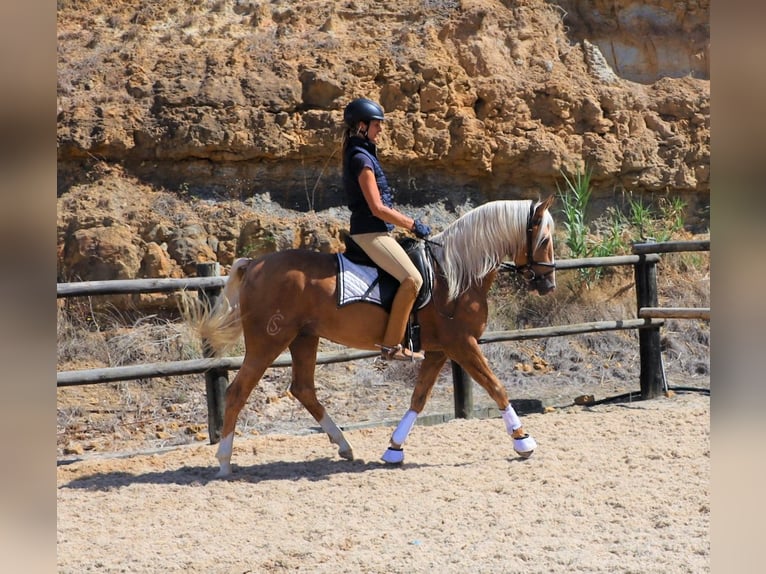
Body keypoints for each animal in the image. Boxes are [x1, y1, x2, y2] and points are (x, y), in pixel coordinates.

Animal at [188, 197, 556, 476]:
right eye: (544, 240)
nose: (548, 284)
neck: (455, 274)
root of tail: (255, 264)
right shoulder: (462, 345)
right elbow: (496, 387)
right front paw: (523, 440)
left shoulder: (439, 351)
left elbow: (418, 398)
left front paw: (394, 449)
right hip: (268, 341)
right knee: (239, 391)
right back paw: (224, 462)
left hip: (303, 338)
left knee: (303, 388)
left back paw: (344, 446)